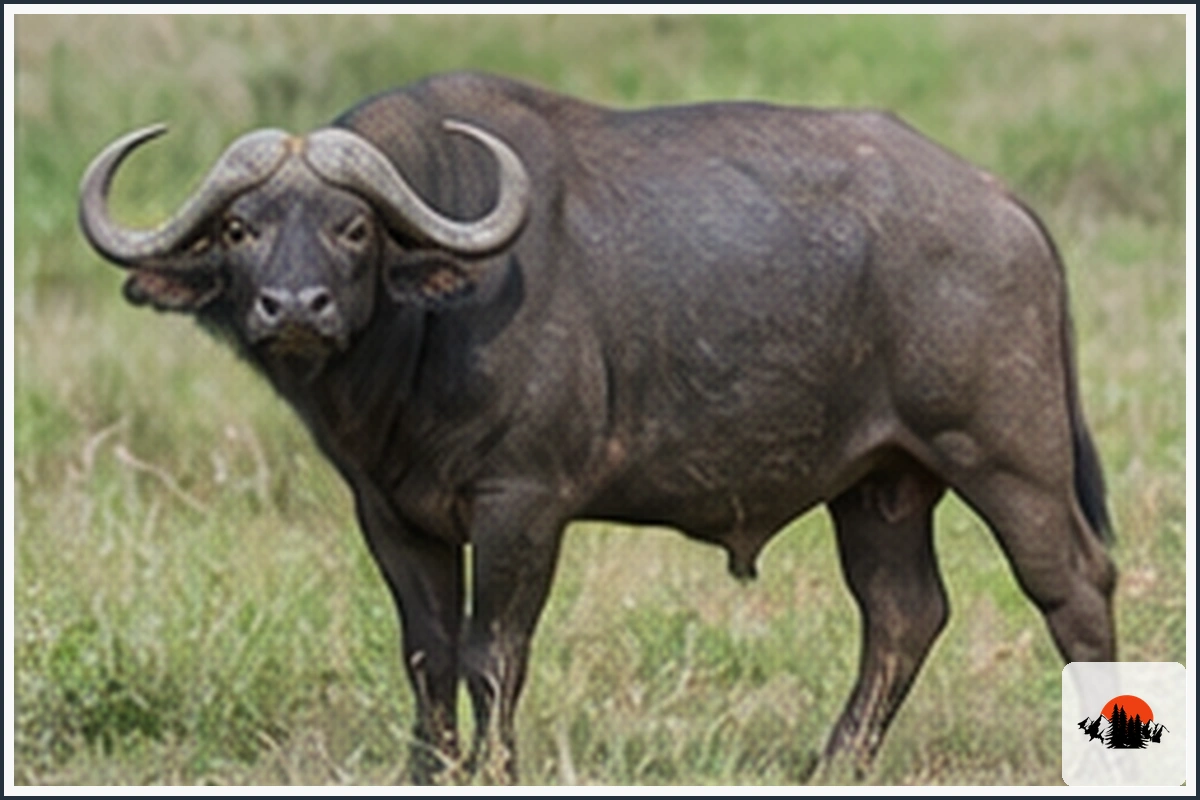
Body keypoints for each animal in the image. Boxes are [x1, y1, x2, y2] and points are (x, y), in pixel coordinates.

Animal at [79, 72, 1116, 783]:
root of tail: (1003, 205)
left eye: (353, 227)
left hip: (1009, 459)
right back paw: (832, 765)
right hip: (880, 484)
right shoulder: (390, 512)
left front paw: (496, 770)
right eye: (243, 228)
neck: (425, 332)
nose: (296, 308)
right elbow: (427, 654)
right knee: (903, 612)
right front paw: (426, 770)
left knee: (1073, 584)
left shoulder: (522, 504)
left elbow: (493, 655)